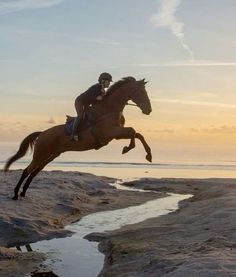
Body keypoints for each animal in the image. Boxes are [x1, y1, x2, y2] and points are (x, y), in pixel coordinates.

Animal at [4, 76, 153, 199]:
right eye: (141, 92)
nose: (149, 110)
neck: (109, 109)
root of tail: (42, 133)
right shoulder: (110, 133)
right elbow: (133, 132)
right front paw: (127, 148)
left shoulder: (116, 135)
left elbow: (137, 134)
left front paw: (149, 155)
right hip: (40, 154)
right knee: (27, 170)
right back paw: (15, 194)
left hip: (51, 155)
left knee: (34, 172)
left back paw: (23, 192)